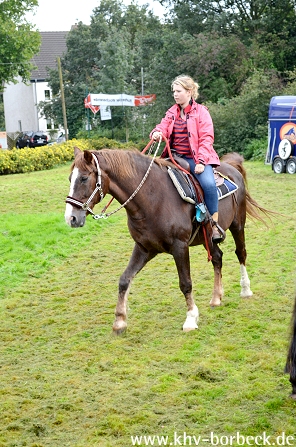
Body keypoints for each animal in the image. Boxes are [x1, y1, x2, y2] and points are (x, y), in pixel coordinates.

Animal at [65, 147, 268, 332]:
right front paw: (120, 320)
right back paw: (216, 297)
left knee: (241, 253)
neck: (152, 199)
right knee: (217, 257)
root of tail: (231, 167)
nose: (71, 218)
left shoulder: (180, 247)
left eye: (84, 178)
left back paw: (245, 289)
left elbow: (185, 283)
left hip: (237, 225)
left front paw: (191, 318)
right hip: (207, 238)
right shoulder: (144, 248)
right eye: (70, 179)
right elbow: (124, 279)